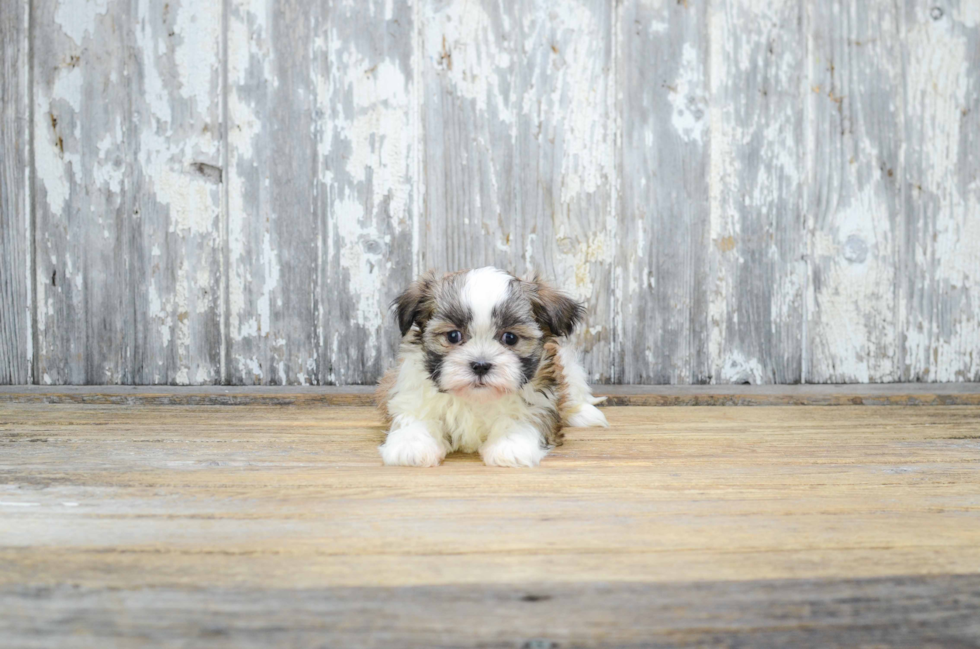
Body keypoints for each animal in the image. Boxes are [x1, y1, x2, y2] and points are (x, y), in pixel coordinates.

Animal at [376, 266, 604, 468]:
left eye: (510, 338)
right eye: (453, 336)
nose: (480, 365)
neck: (476, 399)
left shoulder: (539, 402)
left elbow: (521, 419)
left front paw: (510, 445)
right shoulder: (409, 394)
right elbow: (414, 417)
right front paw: (411, 444)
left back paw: (582, 413)